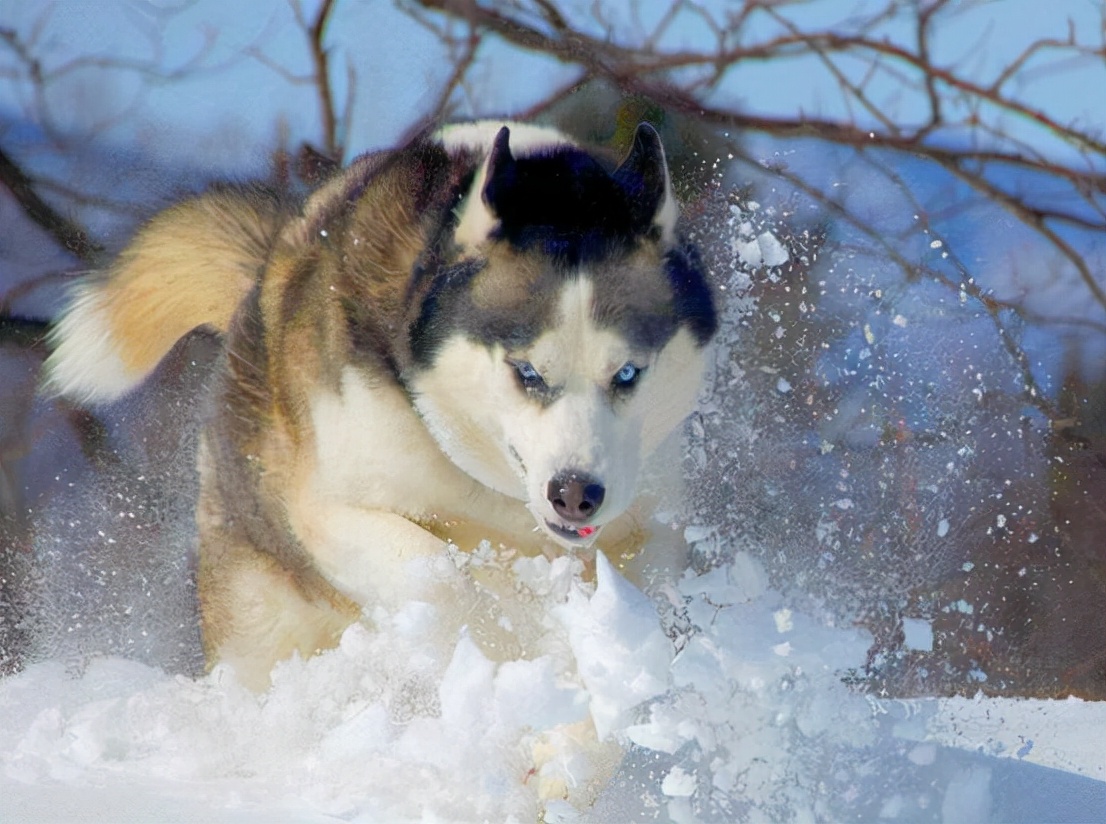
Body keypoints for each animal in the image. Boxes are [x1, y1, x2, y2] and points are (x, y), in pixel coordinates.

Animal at [43, 118, 716, 690]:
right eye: (526, 371)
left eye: (627, 373)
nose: (575, 493)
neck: (496, 497)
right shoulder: (327, 510)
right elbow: (437, 574)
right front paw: (504, 647)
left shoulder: (648, 522)